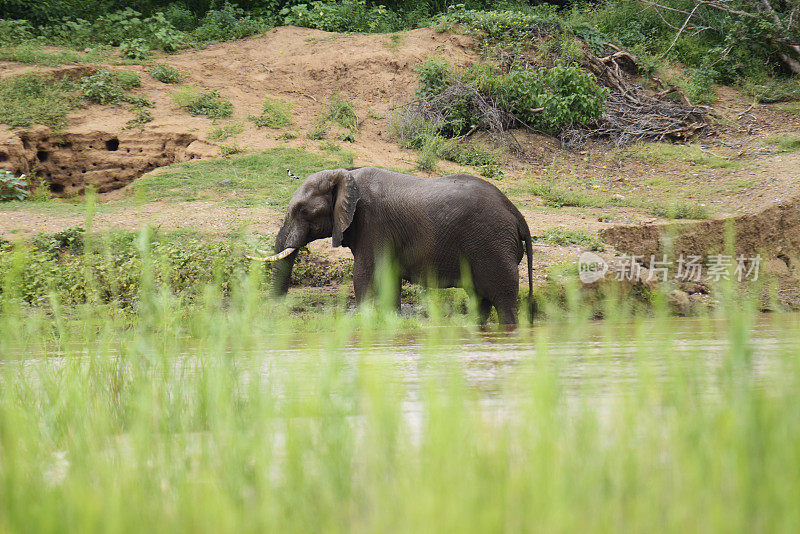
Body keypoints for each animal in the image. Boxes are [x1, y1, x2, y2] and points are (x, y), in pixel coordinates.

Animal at [266, 168, 536, 326]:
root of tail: (516, 213)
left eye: (302, 211)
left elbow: (365, 275)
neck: (345, 174)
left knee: (503, 300)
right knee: (481, 300)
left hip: (493, 245)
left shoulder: (372, 223)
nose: (277, 308)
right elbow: (389, 278)